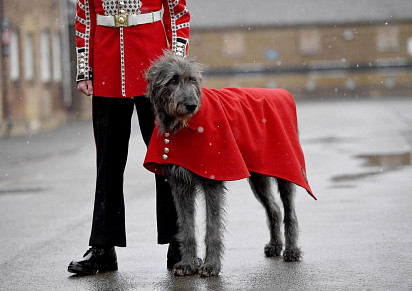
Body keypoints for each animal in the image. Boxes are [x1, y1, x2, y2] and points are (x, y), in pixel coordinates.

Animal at [146, 50, 300, 278]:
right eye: (173, 80)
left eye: (192, 79)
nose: (191, 105)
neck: (182, 127)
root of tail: (281, 92)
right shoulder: (180, 185)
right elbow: (186, 226)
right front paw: (188, 263)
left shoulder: (213, 180)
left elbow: (213, 227)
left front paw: (211, 265)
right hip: (258, 178)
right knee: (274, 208)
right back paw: (275, 245)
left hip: (286, 168)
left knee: (289, 211)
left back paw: (291, 250)